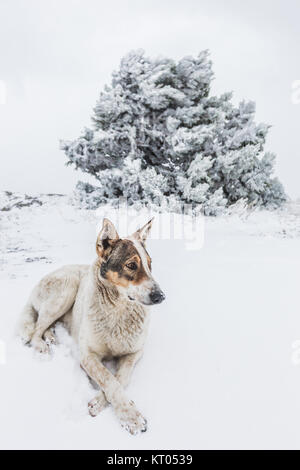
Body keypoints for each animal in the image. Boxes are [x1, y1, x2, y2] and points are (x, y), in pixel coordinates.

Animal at [17, 218, 165, 436]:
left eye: (149, 264)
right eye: (131, 265)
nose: (161, 296)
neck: (118, 311)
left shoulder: (135, 353)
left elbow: (121, 377)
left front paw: (100, 402)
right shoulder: (87, 356)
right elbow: (108, 379)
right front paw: (130, 416)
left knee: (46, 325)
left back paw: (51, 337)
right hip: (67, 288)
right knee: (36, 328)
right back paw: (42, 347)